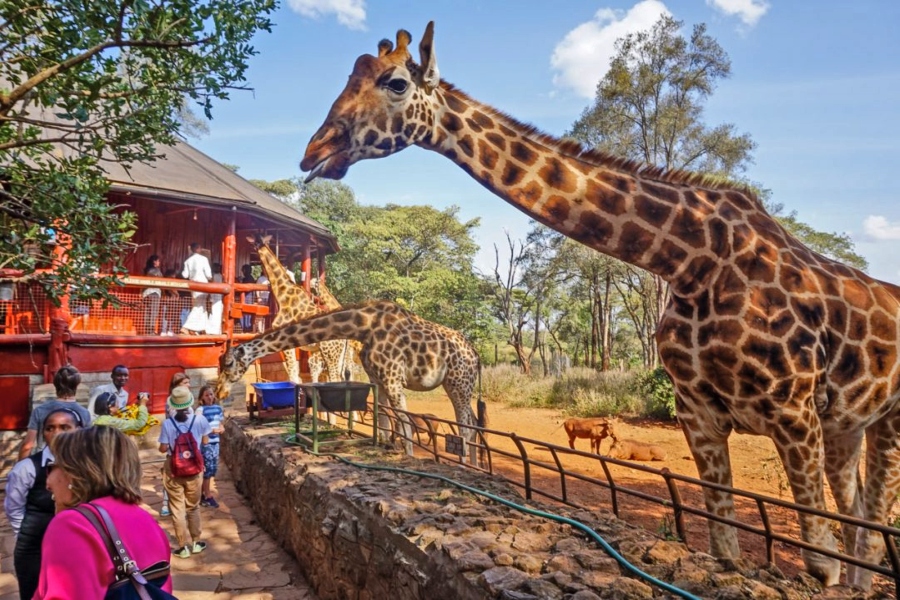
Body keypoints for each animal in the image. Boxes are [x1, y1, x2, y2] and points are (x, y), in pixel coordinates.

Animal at [217, 300, 483, 456]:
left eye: (228, 363)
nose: (219, 392)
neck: (364, 327)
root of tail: (475, 353)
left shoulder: (393, 378)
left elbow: (405, 422)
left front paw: (407, 455)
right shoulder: (379, 379)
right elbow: (383, 418)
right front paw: (386, 446)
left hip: (459, 381)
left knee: (466, 424)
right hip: (455, 383)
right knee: (472, 421)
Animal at [298, 22, 900, 588]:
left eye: (396, 83)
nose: (312, 151)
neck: (690, 259)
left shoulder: (793, 412)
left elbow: (819, 565)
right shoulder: (700, 415)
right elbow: (725, 547)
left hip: (883, 419)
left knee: (869, 530)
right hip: (846, 424)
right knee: (858, 522)